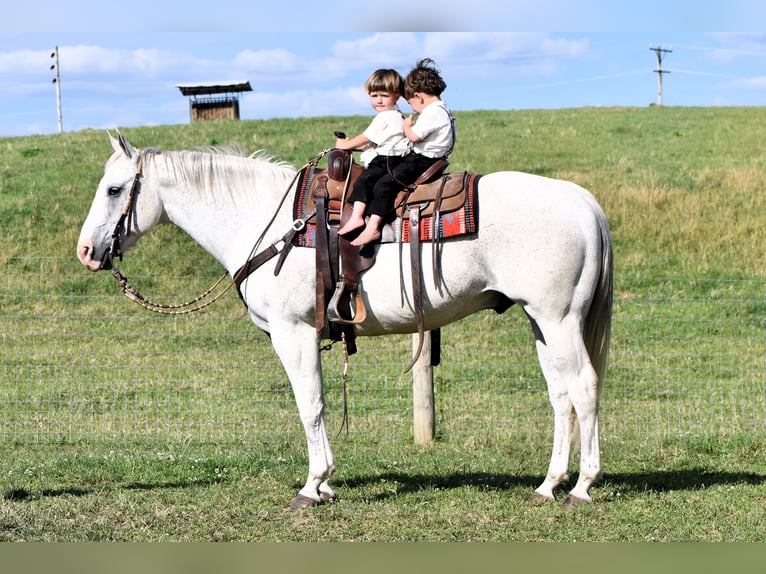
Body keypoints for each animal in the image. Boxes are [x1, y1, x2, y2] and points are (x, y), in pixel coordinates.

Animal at [78, 134, 616, 508]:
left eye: (114, 189)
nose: (85, 251)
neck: (268, 223)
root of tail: (583, 201)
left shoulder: (293, 333)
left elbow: (310, 405)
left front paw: (315, 485)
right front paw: (324, 485)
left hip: (559, 319)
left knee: (585, 387)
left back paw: (581, 488)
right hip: (541, 322)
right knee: (561, 396)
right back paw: (548, 485)